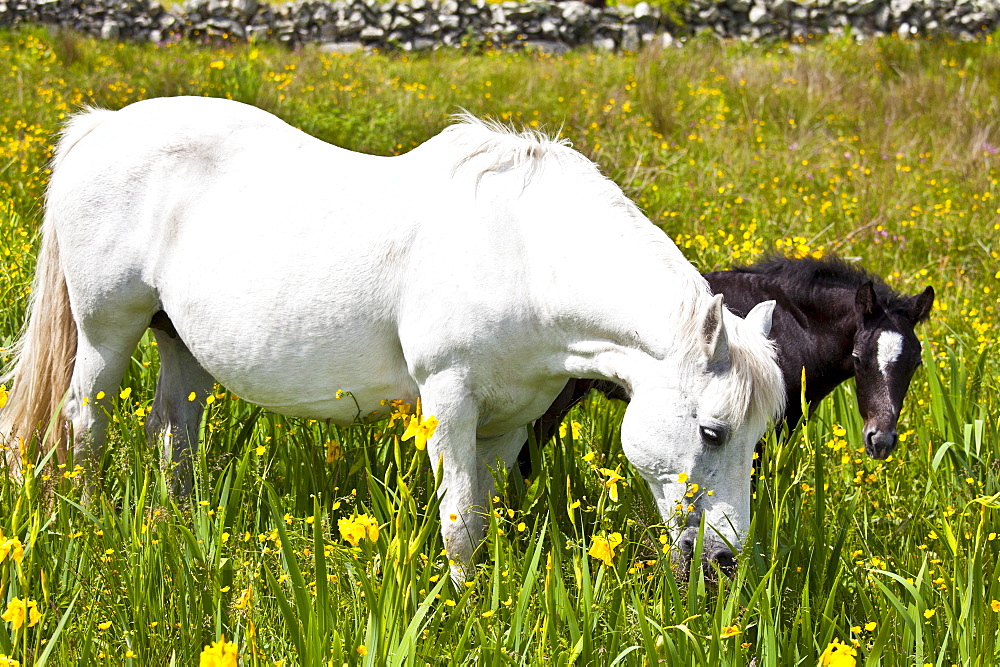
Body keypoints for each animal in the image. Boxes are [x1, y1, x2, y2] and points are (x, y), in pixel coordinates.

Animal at [0, 96, 784, 580]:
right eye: (712, 431)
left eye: (757, 436)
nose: (726, 561)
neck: (523, 252)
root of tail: (103, 126)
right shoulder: (450, 400)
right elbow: (460, 521)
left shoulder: (508, 421)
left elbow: (483, 515)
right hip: (107, 331)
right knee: (85, 422)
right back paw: (93, 519)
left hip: (182, 343)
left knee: (173, 433)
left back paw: (182, 526)